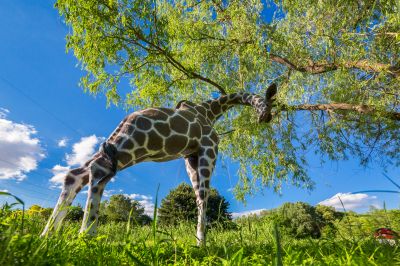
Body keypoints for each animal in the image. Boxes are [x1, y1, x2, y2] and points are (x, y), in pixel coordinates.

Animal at [41, 83, 278, 245]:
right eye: (269, 105)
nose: (264, 118)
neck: (211, 111)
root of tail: (123, 122)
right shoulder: (209, 147)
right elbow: (204, 196)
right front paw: (202, 244)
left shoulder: (190, 156)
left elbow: (198, 196)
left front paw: (198, 241)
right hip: (137, 146)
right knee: (98, 168)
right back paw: (87, 235)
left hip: (126, 149)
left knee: (75, 174)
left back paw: (47, 236)